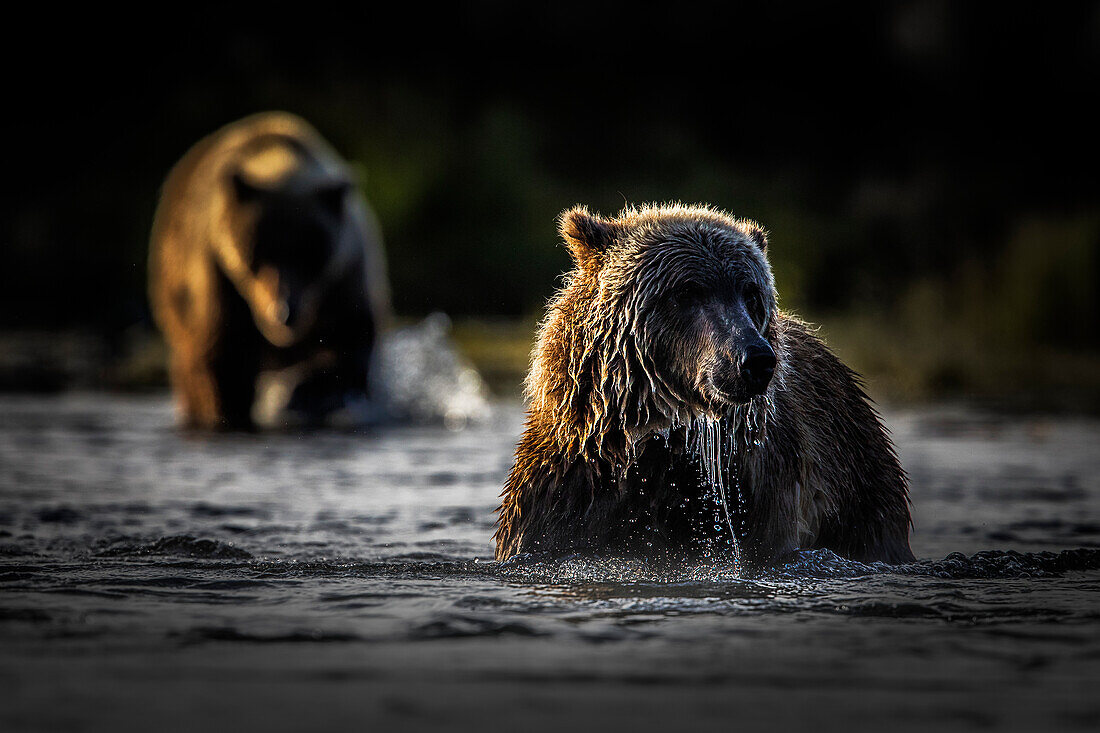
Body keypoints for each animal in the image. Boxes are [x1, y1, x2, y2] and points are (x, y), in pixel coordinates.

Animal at [149, 110, 391, 429]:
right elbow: (222, 357)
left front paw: (301, 396)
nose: (283, 312)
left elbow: (348, 344)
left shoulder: (345, 274)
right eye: (256, 255)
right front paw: (228, 412)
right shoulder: (219, 276)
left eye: (309, 257)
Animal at [495, 202, 915, 567]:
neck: (654, 441)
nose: (756, 359)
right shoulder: (566, 486)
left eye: (751, 293)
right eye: (687, 291)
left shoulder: (754, 491)